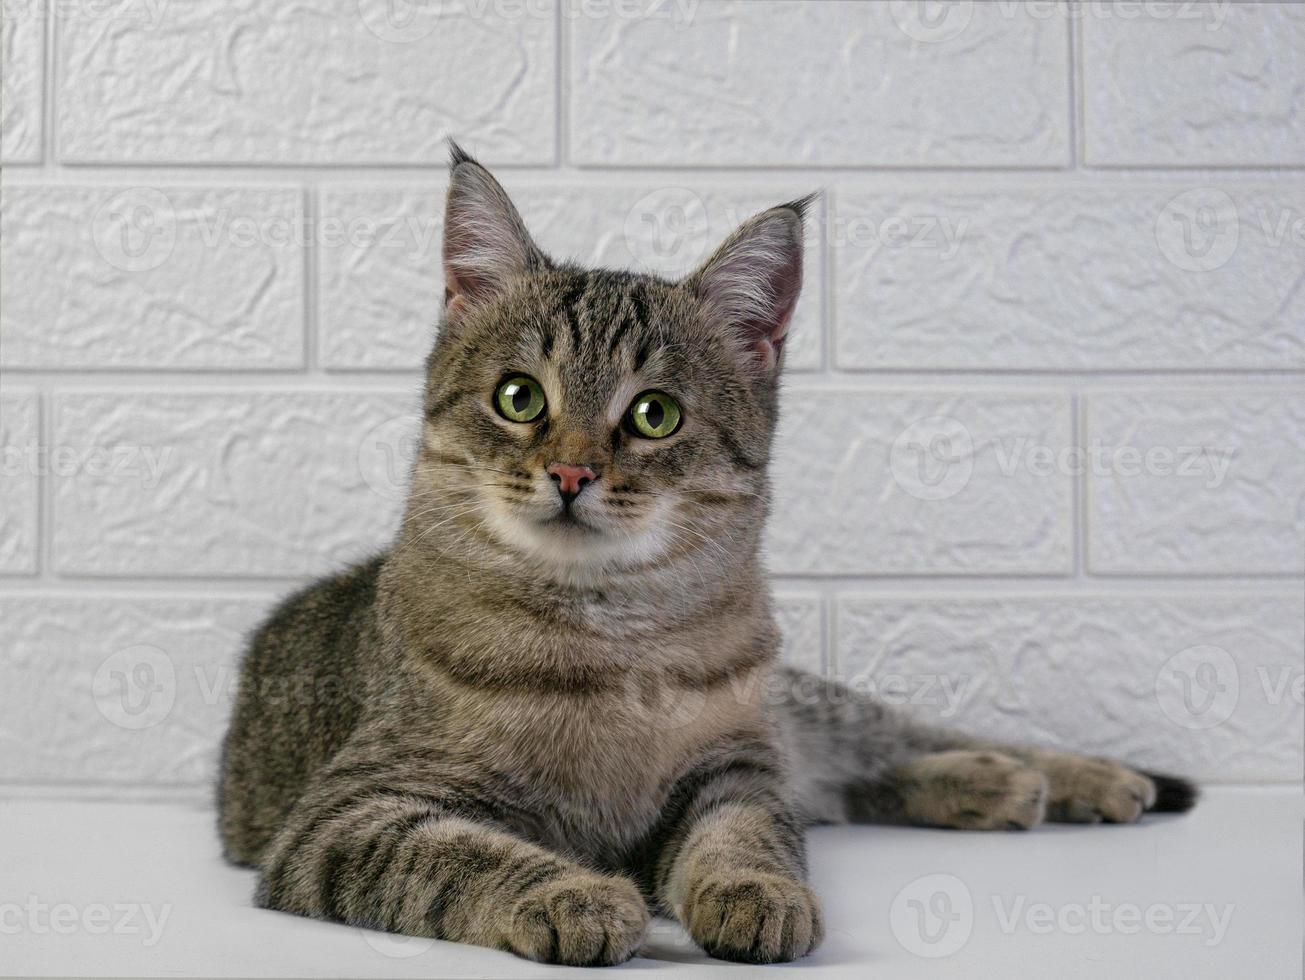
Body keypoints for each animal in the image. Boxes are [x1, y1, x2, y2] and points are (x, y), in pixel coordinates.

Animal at [219, 145, 1195, 965]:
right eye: (518, 397)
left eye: (655, 415)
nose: (570, 471)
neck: (608, 638)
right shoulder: (346, 815)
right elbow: (458, 856)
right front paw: (573, 896)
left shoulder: (735, 767)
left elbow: (747, 833)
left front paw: (756, 893)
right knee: (848, 783)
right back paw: (999, 787)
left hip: (801, 709)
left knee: (893, 744)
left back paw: (1071, 775)